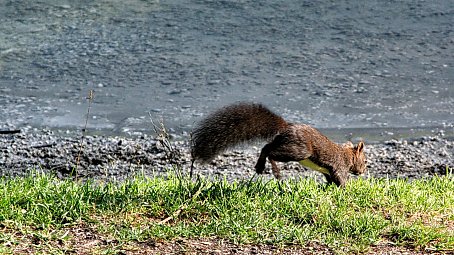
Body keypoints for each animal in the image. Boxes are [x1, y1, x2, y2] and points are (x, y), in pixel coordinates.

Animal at [190, 102, 368, 187]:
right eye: (365, 160)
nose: (363, 171)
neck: (348, 155)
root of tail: (286, 127)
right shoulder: (339, 167)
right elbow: (341, 179)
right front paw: (346, 190)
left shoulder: (327, 172)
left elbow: (330, 180)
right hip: (299, 150)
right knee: (271, 152)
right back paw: (274, 170)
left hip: (284, 142)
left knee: (266, 147)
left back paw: (260, 166)